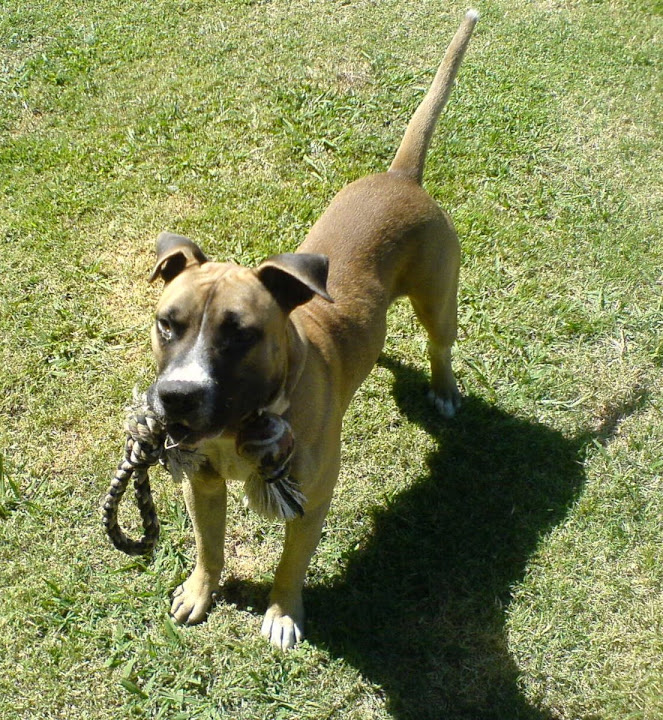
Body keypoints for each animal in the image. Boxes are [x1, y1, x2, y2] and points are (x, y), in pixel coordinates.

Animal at [147, 10, 478, 650]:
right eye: (166, 325)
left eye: (241, 334)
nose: (176, 397)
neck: (244, 423)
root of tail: (402, 176)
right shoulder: (201, 484)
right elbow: (209, 545)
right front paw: (201, 591)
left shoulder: (314, 494)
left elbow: (291, 561)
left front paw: (282, 613)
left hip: (438, 299)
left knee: (440, 345)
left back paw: (445, 391)